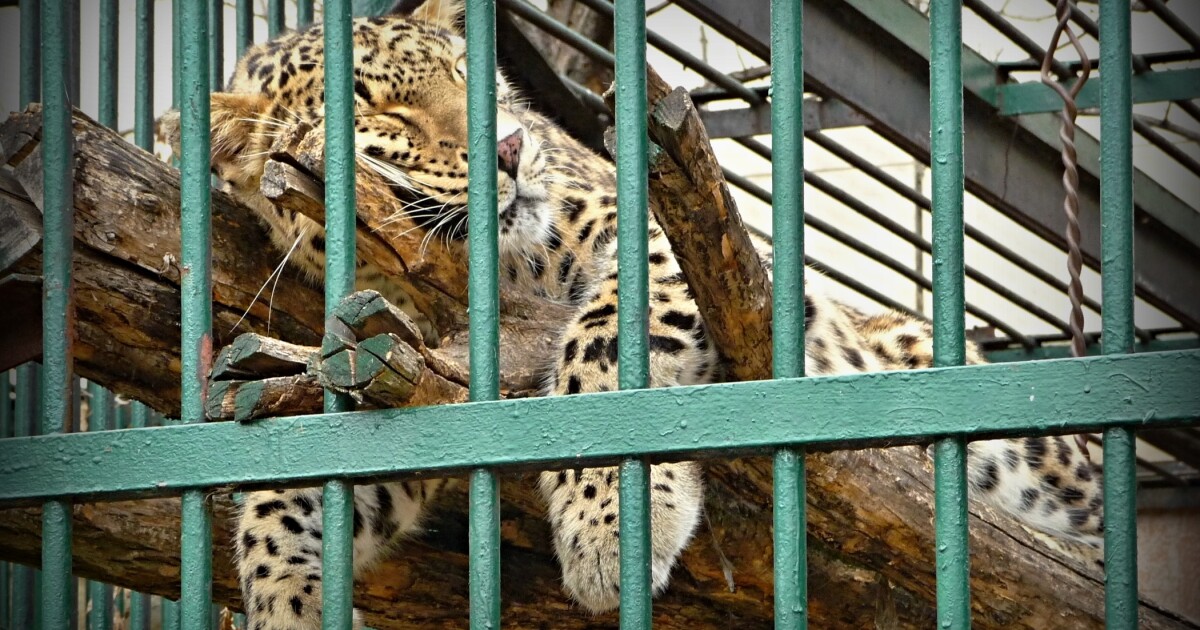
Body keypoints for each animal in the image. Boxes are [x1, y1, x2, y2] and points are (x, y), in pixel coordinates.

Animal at [202, 1, 1104, 627]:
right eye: (378, 112)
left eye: (466, 75)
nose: (513, 149)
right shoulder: (401, 373)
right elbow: (285, 496)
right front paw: (290, 600)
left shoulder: (666, 235)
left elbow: (609, 342)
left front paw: (610, 522)